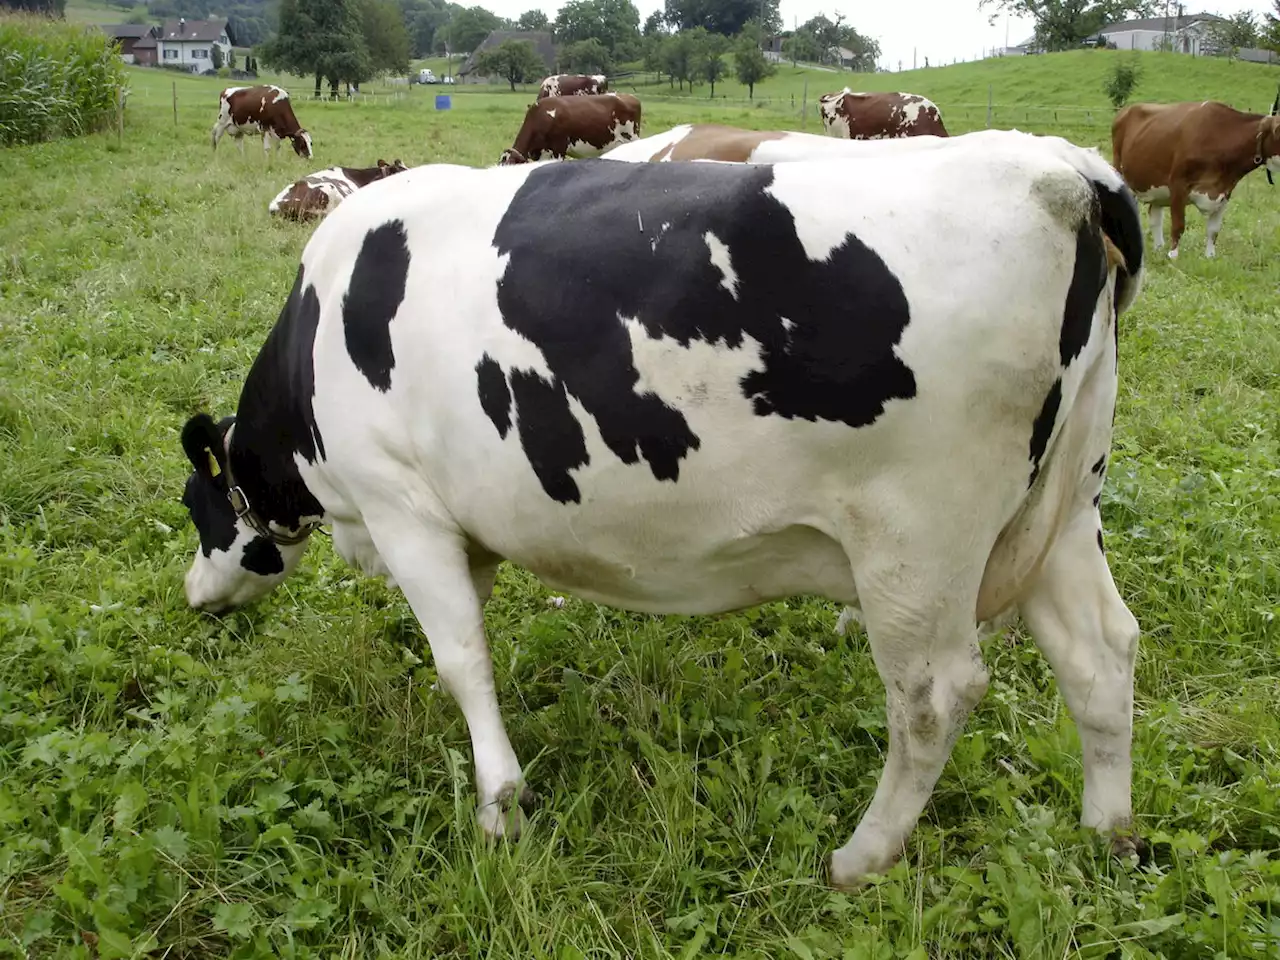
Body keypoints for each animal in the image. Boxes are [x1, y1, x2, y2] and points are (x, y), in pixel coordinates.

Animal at [1111, 96, 1280, 259]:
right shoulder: (1178, 184)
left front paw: (1210, 257)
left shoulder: (1225, 191)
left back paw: (1158, 248)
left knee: (1155, 217)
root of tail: (1126, 110)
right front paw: (1173, 256)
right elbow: (1178, 225)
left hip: (1156, 189)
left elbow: (1214, 229)